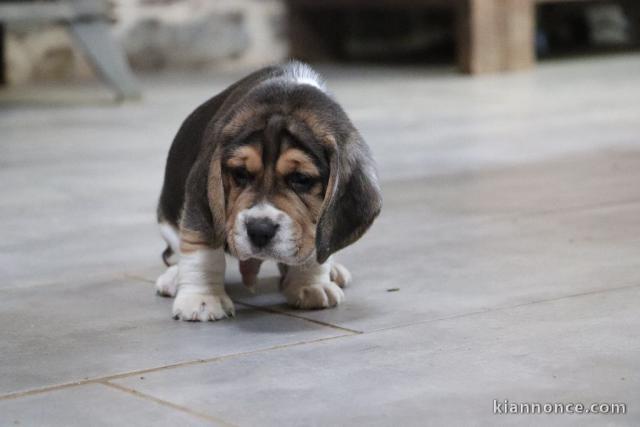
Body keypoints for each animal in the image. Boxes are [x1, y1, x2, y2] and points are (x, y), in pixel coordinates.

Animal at [156, 62, 382, 320]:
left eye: (301, 179)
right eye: (240, 174)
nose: (259, 230)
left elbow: (313, 241)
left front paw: (310, 285)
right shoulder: (200, 194)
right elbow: (201, 248)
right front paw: (202, 299)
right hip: (167, 221)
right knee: (176, 251)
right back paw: (173, 277)